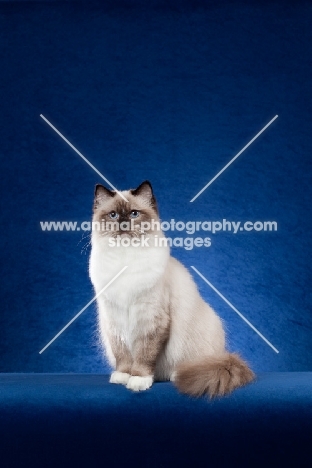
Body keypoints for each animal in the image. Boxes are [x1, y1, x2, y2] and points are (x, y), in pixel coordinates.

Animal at [89, 181, 255, 396]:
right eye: (113, 215)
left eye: (134, 214)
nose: (123, 224)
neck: (124, 258)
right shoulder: (113, 319)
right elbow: (122, 355)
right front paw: (123, 376)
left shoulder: (151, 319)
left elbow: (144, 355)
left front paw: (138, 380)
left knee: (195, 367)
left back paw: (177, 375)